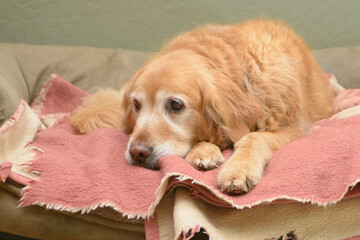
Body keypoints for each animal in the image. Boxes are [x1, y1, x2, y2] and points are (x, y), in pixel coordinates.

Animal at [71, 19, 334, 195]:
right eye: (137, 104)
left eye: (175, 105)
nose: (137, 152)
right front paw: (203, 151)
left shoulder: (293, 128)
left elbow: (253, 137)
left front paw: (238, 169)